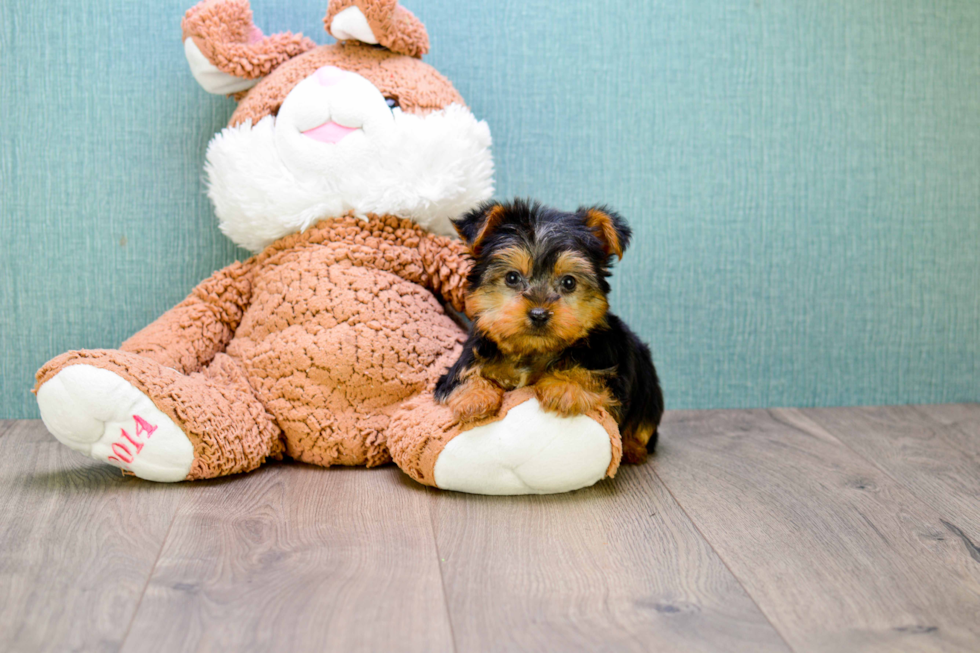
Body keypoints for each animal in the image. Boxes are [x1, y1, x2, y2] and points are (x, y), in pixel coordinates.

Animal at [438, 197, 664, 458]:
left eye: (569, 282)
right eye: (512, 278)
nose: (539, 314)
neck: (533, 351)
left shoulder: (610, 369)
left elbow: (593, 377)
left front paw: (563, 387)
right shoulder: (465, 361)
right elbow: (462, 377)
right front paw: (475, 398)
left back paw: (633, 448)